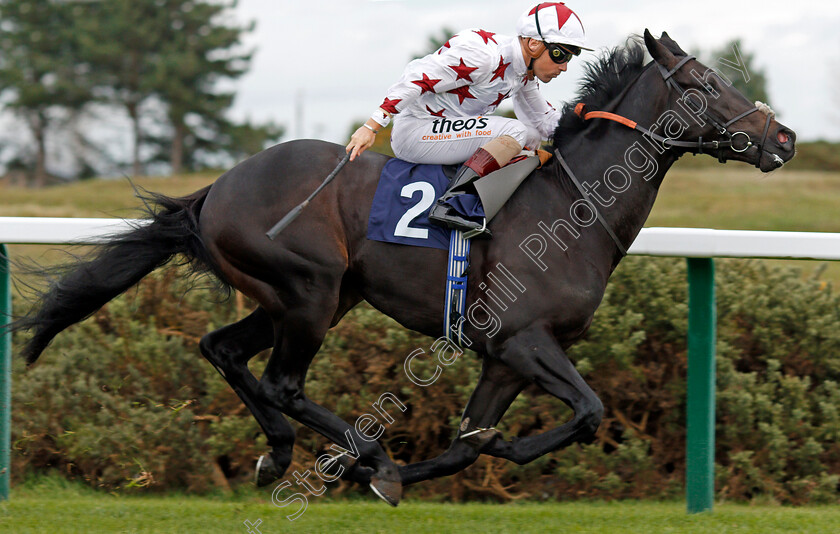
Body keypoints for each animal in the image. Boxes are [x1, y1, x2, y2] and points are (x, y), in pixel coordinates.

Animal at [13, 29, 796, 506]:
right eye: (704, 84)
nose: (784, 136)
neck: (572, 205)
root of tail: (220, 186)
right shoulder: (524, 340)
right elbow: (588, 412)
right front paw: (388, 467)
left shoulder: (504, 359)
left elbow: (465, 448)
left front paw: (444, 453)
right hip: (311, 290)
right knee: (283, 381)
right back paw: (359, 456)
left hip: (306, 296)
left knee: (223, 349)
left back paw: (283, 454)